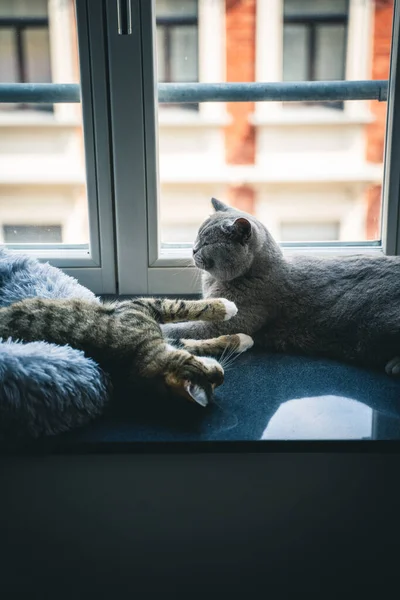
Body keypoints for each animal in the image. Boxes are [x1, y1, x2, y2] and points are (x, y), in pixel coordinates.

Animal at [0, 296, 250, 408]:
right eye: (212, 382)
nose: (222, 375)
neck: (135, 354)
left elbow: (198, 342)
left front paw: (241, 339)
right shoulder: (141, 306)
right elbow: (180, 306)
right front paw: (226, 307)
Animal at [162, 197, 400, 376]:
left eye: (207, 242)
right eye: (197, 236)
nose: (193, 249)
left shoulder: (227, 324)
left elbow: (186, 328)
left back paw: (393, 366)